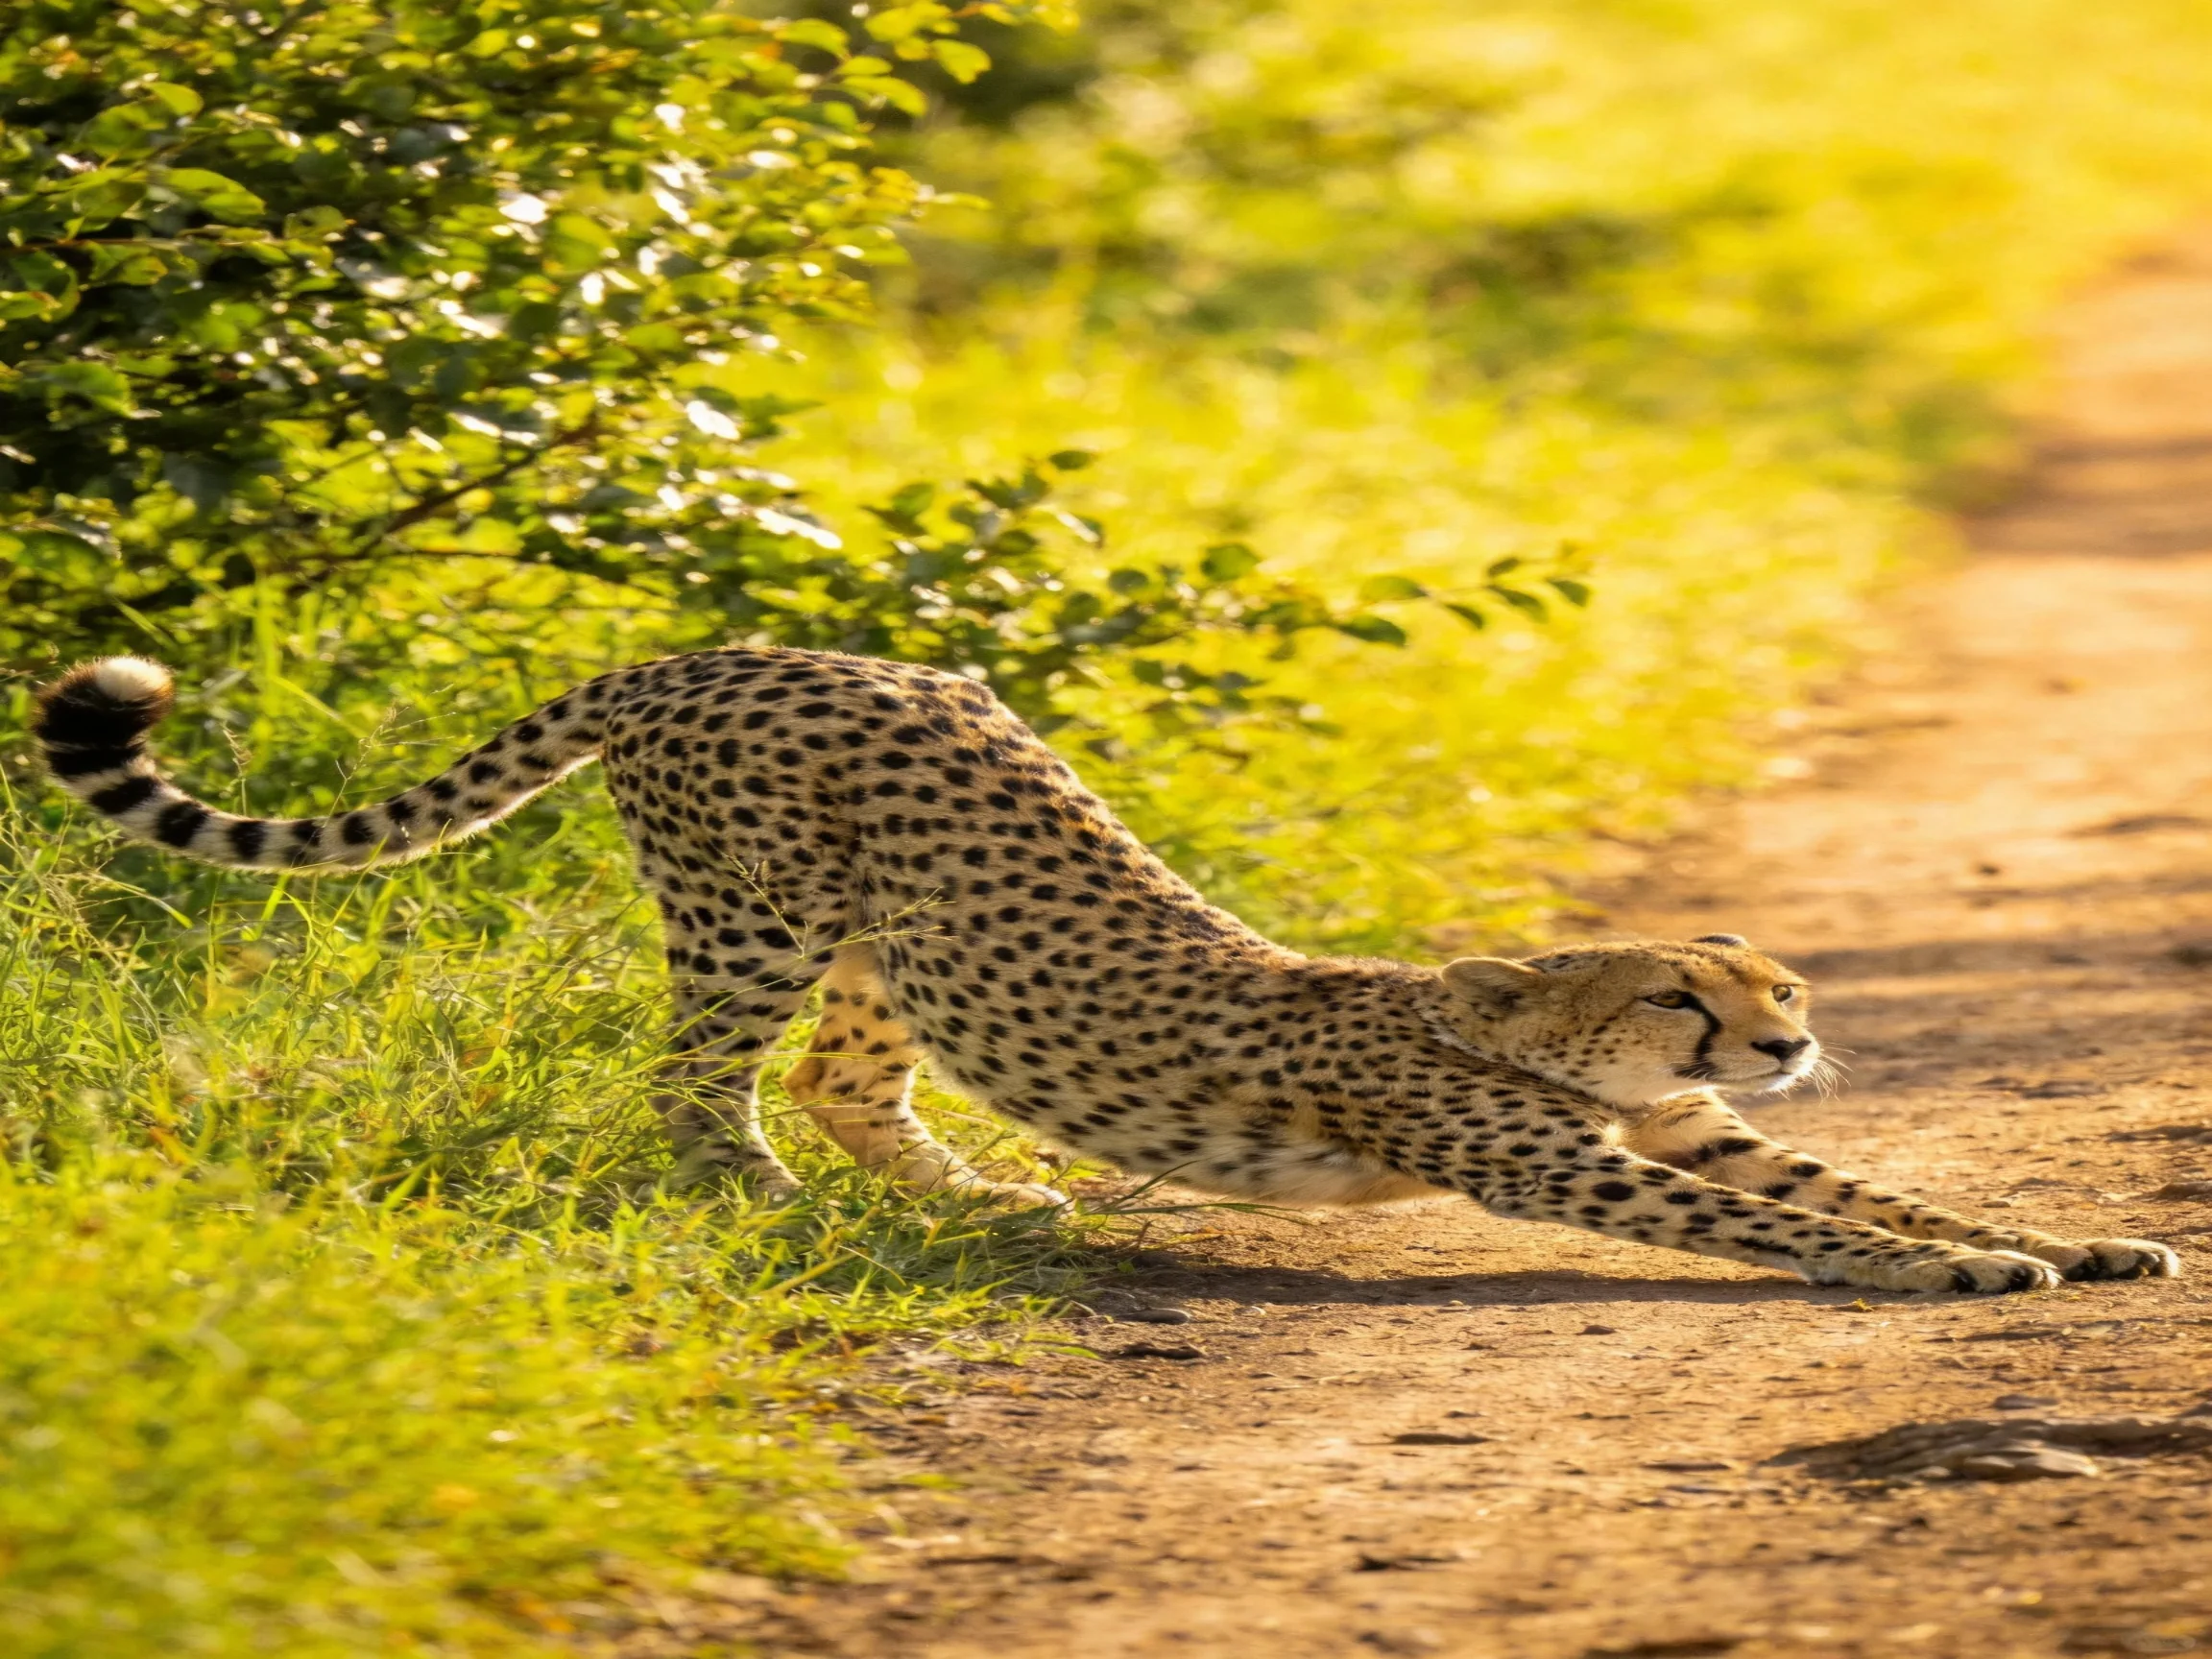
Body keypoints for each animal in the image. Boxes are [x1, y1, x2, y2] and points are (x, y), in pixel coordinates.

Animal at [34, 647, 2180, 1293]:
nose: (1793, 1040)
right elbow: (1792, 1223)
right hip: (758, 911)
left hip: (897, 940)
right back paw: (763, 1196)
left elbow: (1854, 1183)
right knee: (694, 1086)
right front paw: (1946, 1276)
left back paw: (979, 1200)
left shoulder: (1693, 1136)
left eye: (1780, 983)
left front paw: (2067, 1241)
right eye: (1685, 991)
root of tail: (723, 640)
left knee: (848, 1074)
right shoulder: (1565, 1157)